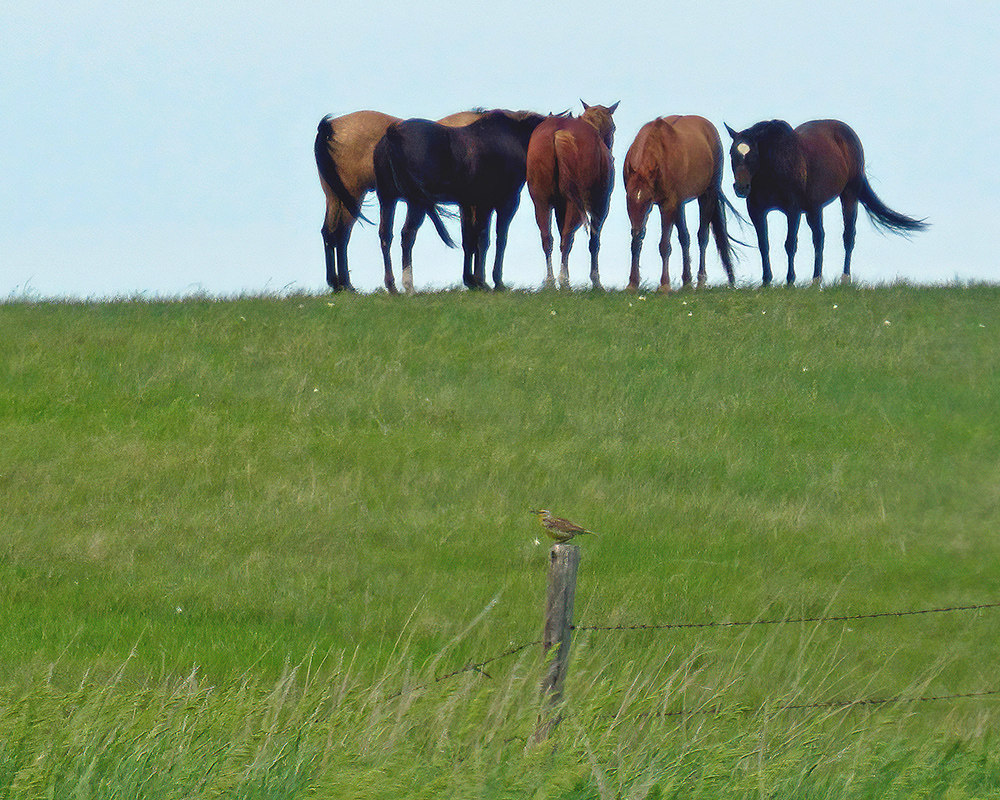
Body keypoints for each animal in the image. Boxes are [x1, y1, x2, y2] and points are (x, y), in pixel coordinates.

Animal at [314, 108, 498, 290]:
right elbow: (473, 237)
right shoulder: (473, 203)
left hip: (335, 198)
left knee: (330, 232)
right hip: (354, 196)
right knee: (342, 234)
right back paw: (346, 283)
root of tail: (330, 126)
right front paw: (475, 280)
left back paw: (337, 282)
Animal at [376, 108, 548, 292]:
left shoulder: (468, 203)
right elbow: (492, 239)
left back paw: (392, 286)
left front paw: (471, 280)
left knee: (386, 235)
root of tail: (394, 132)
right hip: (416, 202)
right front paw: (490, 281)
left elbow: (469, 239)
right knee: (407, 235)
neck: (512, 138)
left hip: (387, 198)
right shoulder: (502, 203)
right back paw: (409, 285)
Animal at [524, 101, 616, 290]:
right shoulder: (600, 205)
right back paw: (564, 281)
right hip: (576, 203)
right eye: (613, 128)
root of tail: (557, 133)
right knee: (567, 238)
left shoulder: (560, 206)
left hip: (541, 202)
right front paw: (596, 280)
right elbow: (594, 242)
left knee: (548, 239)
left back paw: (550, 281)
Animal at [620, 115, 740, 294]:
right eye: (630, 200)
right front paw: (633, 283)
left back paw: (700, 281)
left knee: (702, 237)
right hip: (680, 204)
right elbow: (636, 241)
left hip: (707, 195)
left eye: (648, 200)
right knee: (685, 238)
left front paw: (664, 285)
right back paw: (687, 281)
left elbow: (665, 245)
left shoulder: (667, 204)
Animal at [724, 116, 924, 284]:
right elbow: (763, 244)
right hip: (814, 208)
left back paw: (845, 278)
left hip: (849, 196)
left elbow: (790, 244)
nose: (741, 188)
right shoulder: (757, 211)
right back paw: (816, 279)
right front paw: (766, 281)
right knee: (819, 238)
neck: (775, 167)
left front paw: (790, 280)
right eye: (732, 154)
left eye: (753, 155)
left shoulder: (793, 211)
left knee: (848, 236)